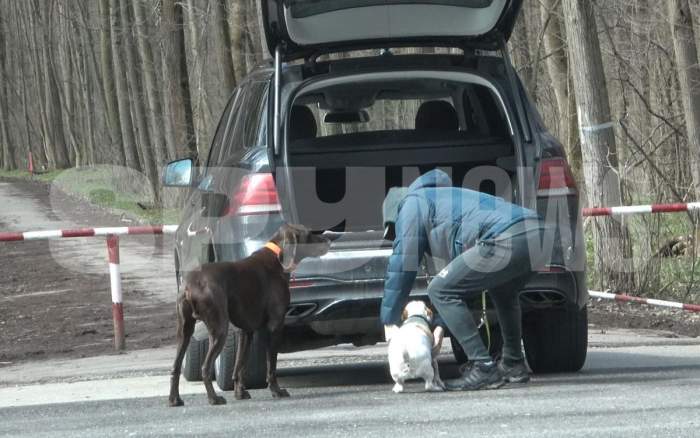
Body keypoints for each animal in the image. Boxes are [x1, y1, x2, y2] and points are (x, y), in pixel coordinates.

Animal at [171, 224, 332, 406]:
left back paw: (174, 399)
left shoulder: (246, 331)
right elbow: (271, 365)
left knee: (176, 366)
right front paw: (276, 391)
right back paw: (214, 398)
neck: (277, 257)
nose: (329, 240)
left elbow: (240, 366)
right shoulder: (275, 325)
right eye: (309, 234)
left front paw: (240, 393)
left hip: (185, 332)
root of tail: (190, 285)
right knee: (205, 367)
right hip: (219, 329)